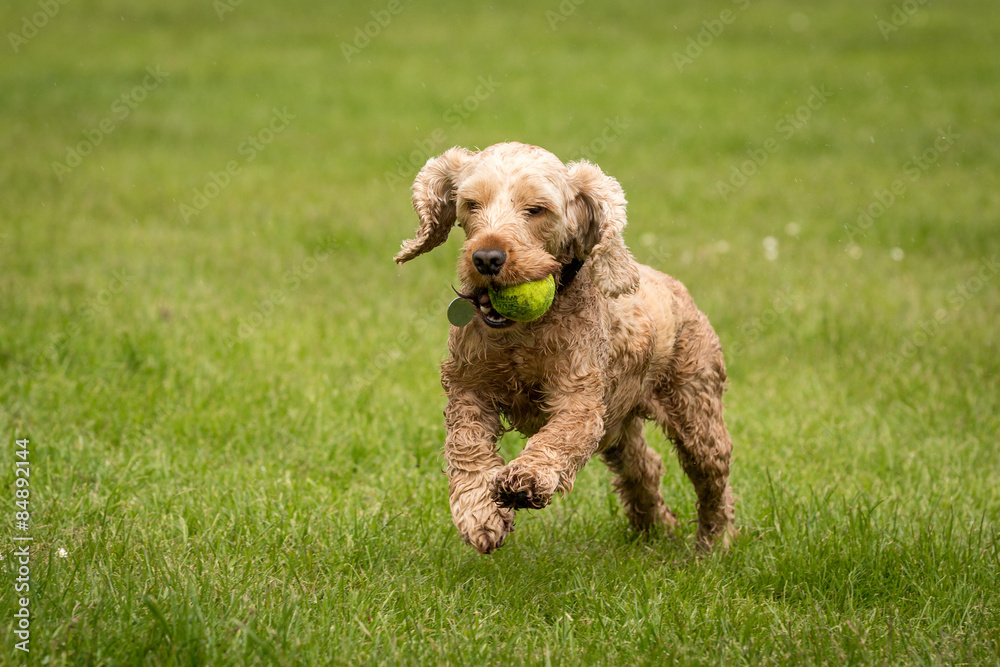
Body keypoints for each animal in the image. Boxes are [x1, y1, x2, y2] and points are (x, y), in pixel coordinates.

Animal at [396, 144, 736, 556]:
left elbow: (557, 438)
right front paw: (480, 514)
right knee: (645, 466)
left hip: (694, 412)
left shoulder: (580, 400)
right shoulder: (469, 389)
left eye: (536, 209)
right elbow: (466, 447)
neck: (522, 335)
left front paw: (527, 478)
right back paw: (654, 527)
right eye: (471, 204)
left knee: (714, 479)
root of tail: (675, 287)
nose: (486, 258)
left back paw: (713, 543)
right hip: (618, 427)